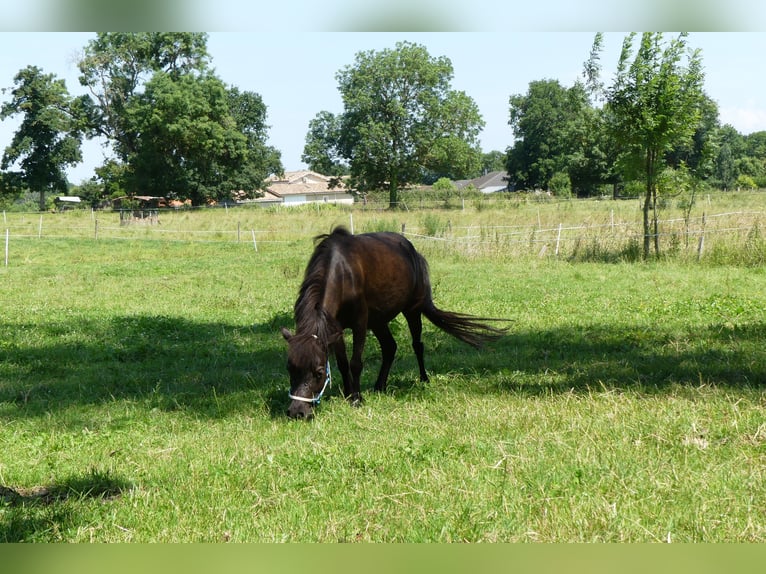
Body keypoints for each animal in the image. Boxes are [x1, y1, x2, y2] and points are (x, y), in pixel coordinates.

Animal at [281, 226, 507, 419]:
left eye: (319, 372)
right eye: (290, 368)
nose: (297, 412)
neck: (342, 273)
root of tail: (412, 250)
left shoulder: (360, 323)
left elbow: (355, 363)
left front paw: (357, 399)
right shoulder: (333, 328)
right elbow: (343, 364)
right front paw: (347, 393)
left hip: (412, 311)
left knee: (417, 345)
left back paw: (423, 379)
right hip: (379, 321)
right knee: (390, 347)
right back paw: (380, 385)